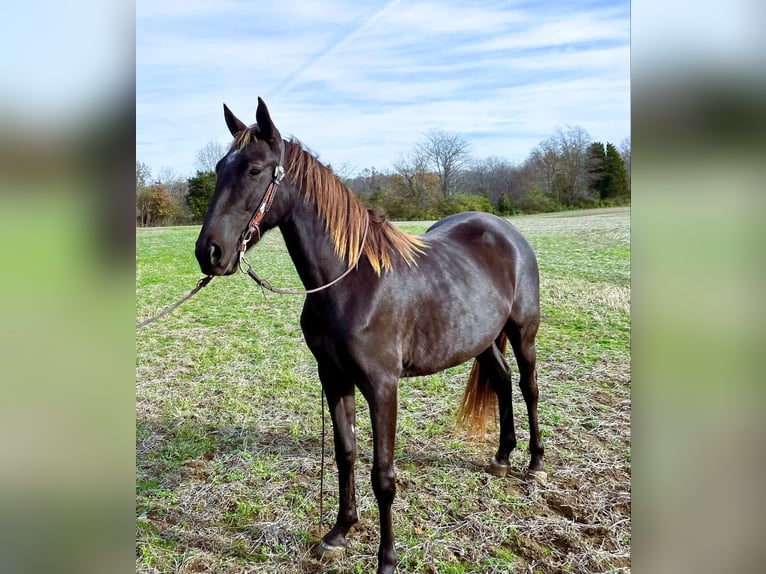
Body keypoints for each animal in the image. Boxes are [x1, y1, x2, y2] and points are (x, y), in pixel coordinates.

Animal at [195, 99, 548, 574]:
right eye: (219, 168)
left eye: (254, 170)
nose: (209, 252)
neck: (350, 282)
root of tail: (506, 231)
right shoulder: (333, 378)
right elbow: (345, 454)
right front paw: (339, 532)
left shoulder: (382, 386)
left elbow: (383, 475)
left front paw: (387, 559)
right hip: (483, 338)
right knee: (503, 380)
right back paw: (502, 458)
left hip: (522, 331)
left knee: (528, 386)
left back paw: (534, 463)